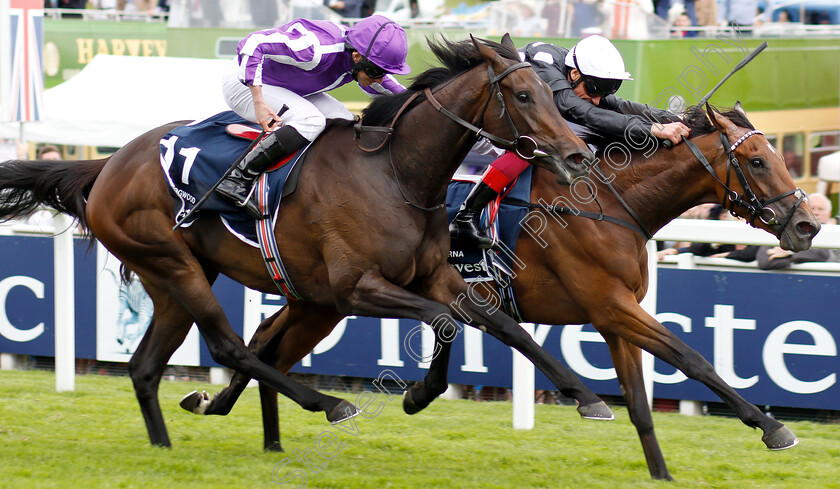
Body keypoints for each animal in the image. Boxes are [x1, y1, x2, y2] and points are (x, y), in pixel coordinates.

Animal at [0, 33, 612, 446]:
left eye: (553, 95)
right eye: (525, 96)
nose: (577, 154)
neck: (397, 173)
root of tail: (107, 166)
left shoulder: (434, 274)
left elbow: (500, 324)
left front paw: (587, 397)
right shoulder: (356, 287)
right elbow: (444, 321)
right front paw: (417, 394)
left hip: (173, 278)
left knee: (147, 366)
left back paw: (165, 443)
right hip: (172, 262)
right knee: (229, 345)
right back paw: (329, 403)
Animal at [194, 101, 816, 478]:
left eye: (779, 155)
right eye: (757, 160)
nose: (807, 225)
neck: (608, 204)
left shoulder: (615, 316)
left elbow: (642, 403)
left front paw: (661, 474)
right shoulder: (610, 305)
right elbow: (692, 357)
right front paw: (772, 427)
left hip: (317, 301)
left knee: (269, 341)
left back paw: (230, 409)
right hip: (330, 296)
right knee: (267, 344)